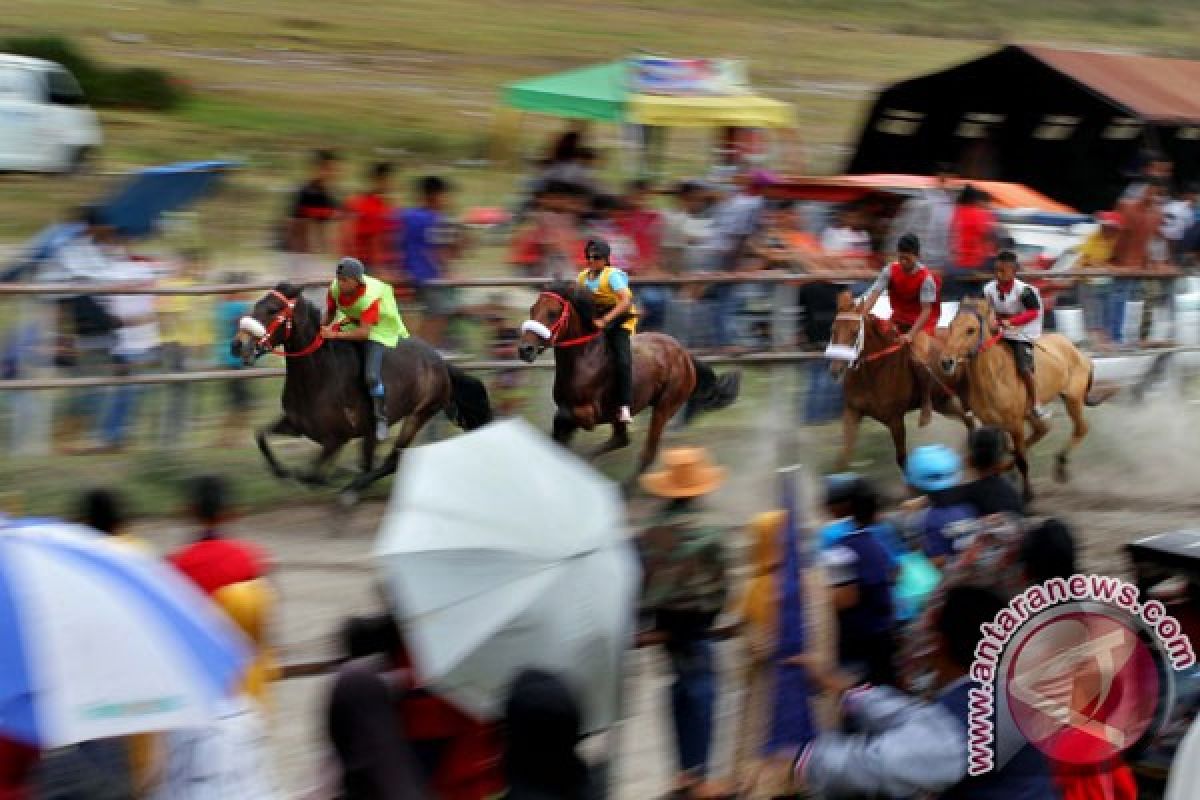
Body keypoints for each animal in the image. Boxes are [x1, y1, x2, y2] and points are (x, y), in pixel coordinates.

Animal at [229, 281, 492, 494]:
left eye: (273, 309)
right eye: (256, 304)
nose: (237, 345)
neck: (317, 377)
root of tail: (440, 362)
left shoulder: (336, 438)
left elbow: (311, 475)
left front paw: (323, 478)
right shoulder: (296, 425)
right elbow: (262, 437)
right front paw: (282, 472)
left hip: (418, 414)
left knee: (390, 461)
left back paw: (353, 488)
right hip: (380, 429)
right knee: (372, 461)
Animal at [518, 281, 739, 482]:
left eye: (553, 313)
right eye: (532, 309)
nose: (525, 350)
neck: (584, 359)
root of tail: (685, 355)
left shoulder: (590, 415)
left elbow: (565, 418)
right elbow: (559, 429)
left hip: (664, 407)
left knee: (647, 452)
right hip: (625, 414)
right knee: (621, 439)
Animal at [825, 291, 974, 472]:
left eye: (855, 332)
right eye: (833, 330)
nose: (835, 370)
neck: (874, 372)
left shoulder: (895, 419)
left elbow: (903, 459)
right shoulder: (852, 411)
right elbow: (843, 458)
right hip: (942, 401)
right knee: (967, 420)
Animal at [936, 297, 1113, 503]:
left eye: (970, 329)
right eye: (950, 325)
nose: (946, 362)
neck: (993, 376)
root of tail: (1077, 352)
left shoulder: (1015, 424)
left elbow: (1021, 460)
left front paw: (1027, 494)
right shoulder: (992, 423)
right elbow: (999, 450)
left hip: (1072, 398)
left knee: (1079, 428)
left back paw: (1060, 465)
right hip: (1033, 411)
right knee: (1041, 431)